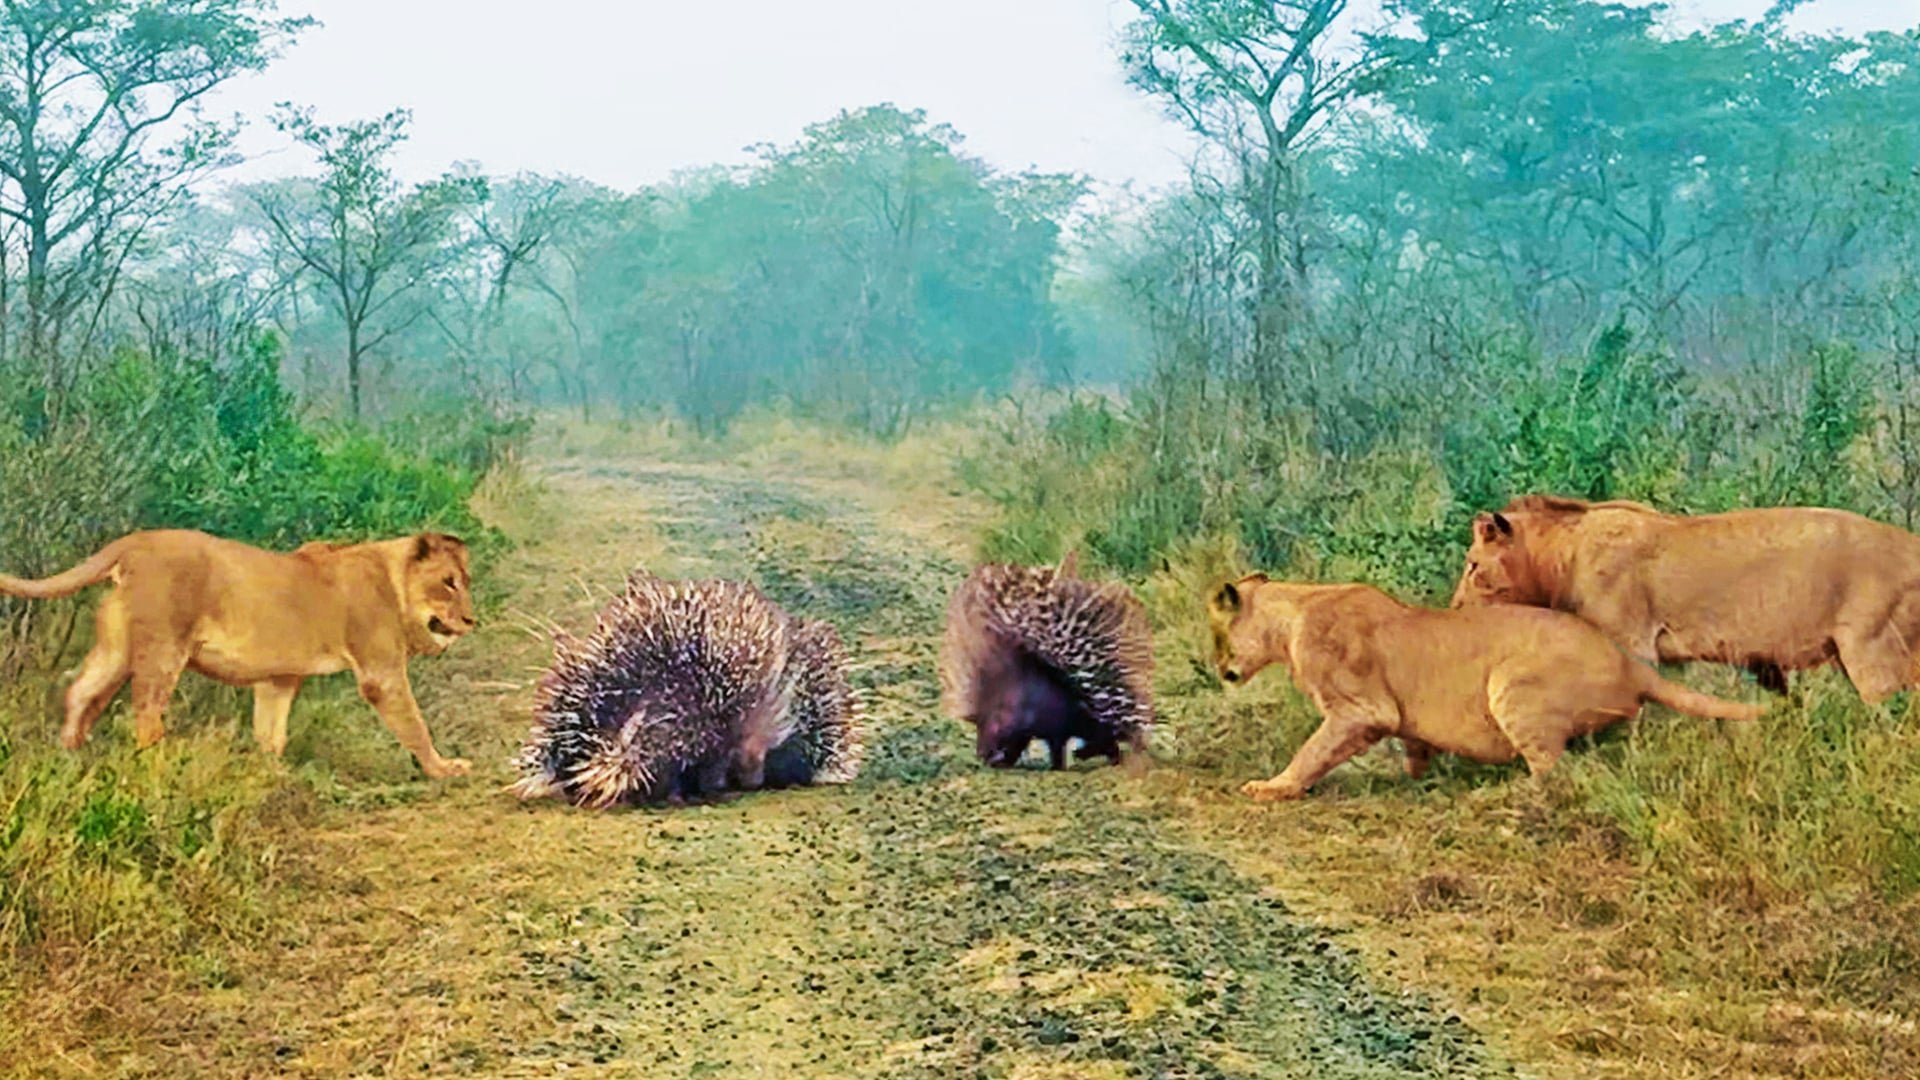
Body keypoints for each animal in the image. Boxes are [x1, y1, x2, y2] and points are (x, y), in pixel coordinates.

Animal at [0, 529, 477, 777]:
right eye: (449, 583)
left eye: (466, 581)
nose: (472, 620)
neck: (394, 582)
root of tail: (137, 539)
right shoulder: (382, 673)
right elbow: (415, 724)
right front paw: (443, 767)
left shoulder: (279, 678)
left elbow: (272, 730)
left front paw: (272, 773)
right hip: (164, 648)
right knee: (146, 712)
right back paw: (161, 762)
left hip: (115, 649)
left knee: (80, 692)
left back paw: (70, 753)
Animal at [1208, 575, 1763, 801]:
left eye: (1217, 633)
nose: (1217, 668)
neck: (1292, 612)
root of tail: (1629, 664)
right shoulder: (1398, 718)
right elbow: (1413, 745)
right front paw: (1413, 776)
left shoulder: (1361, 709)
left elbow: (1313, 750)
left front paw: (1273, 787)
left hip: (1513, 686)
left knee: (1553, 770)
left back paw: (1501, 790)